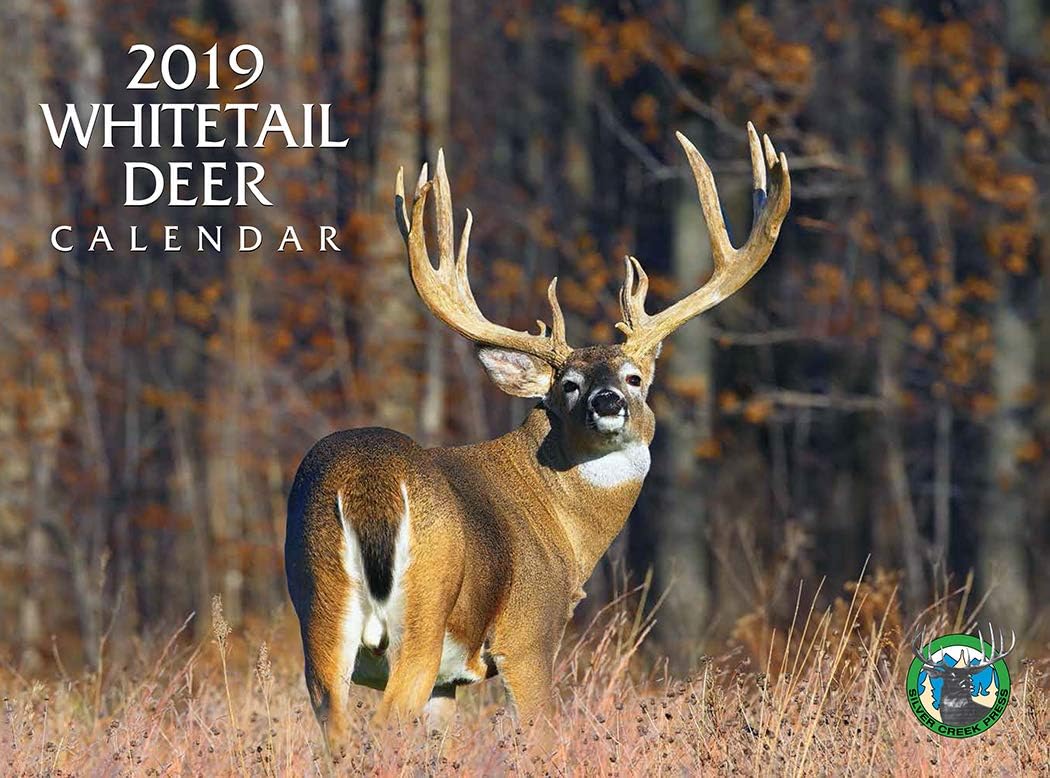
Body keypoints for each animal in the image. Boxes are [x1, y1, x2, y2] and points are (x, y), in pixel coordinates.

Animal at [284, 123, 790, 748]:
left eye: (635, 377)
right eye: (568, 385)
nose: (607, 401)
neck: (563, 526)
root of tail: (366, 485)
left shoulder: (449, 682)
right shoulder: (530, 631)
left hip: (319, 609)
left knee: (335, 729)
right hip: (422, 612)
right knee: (382, 726)